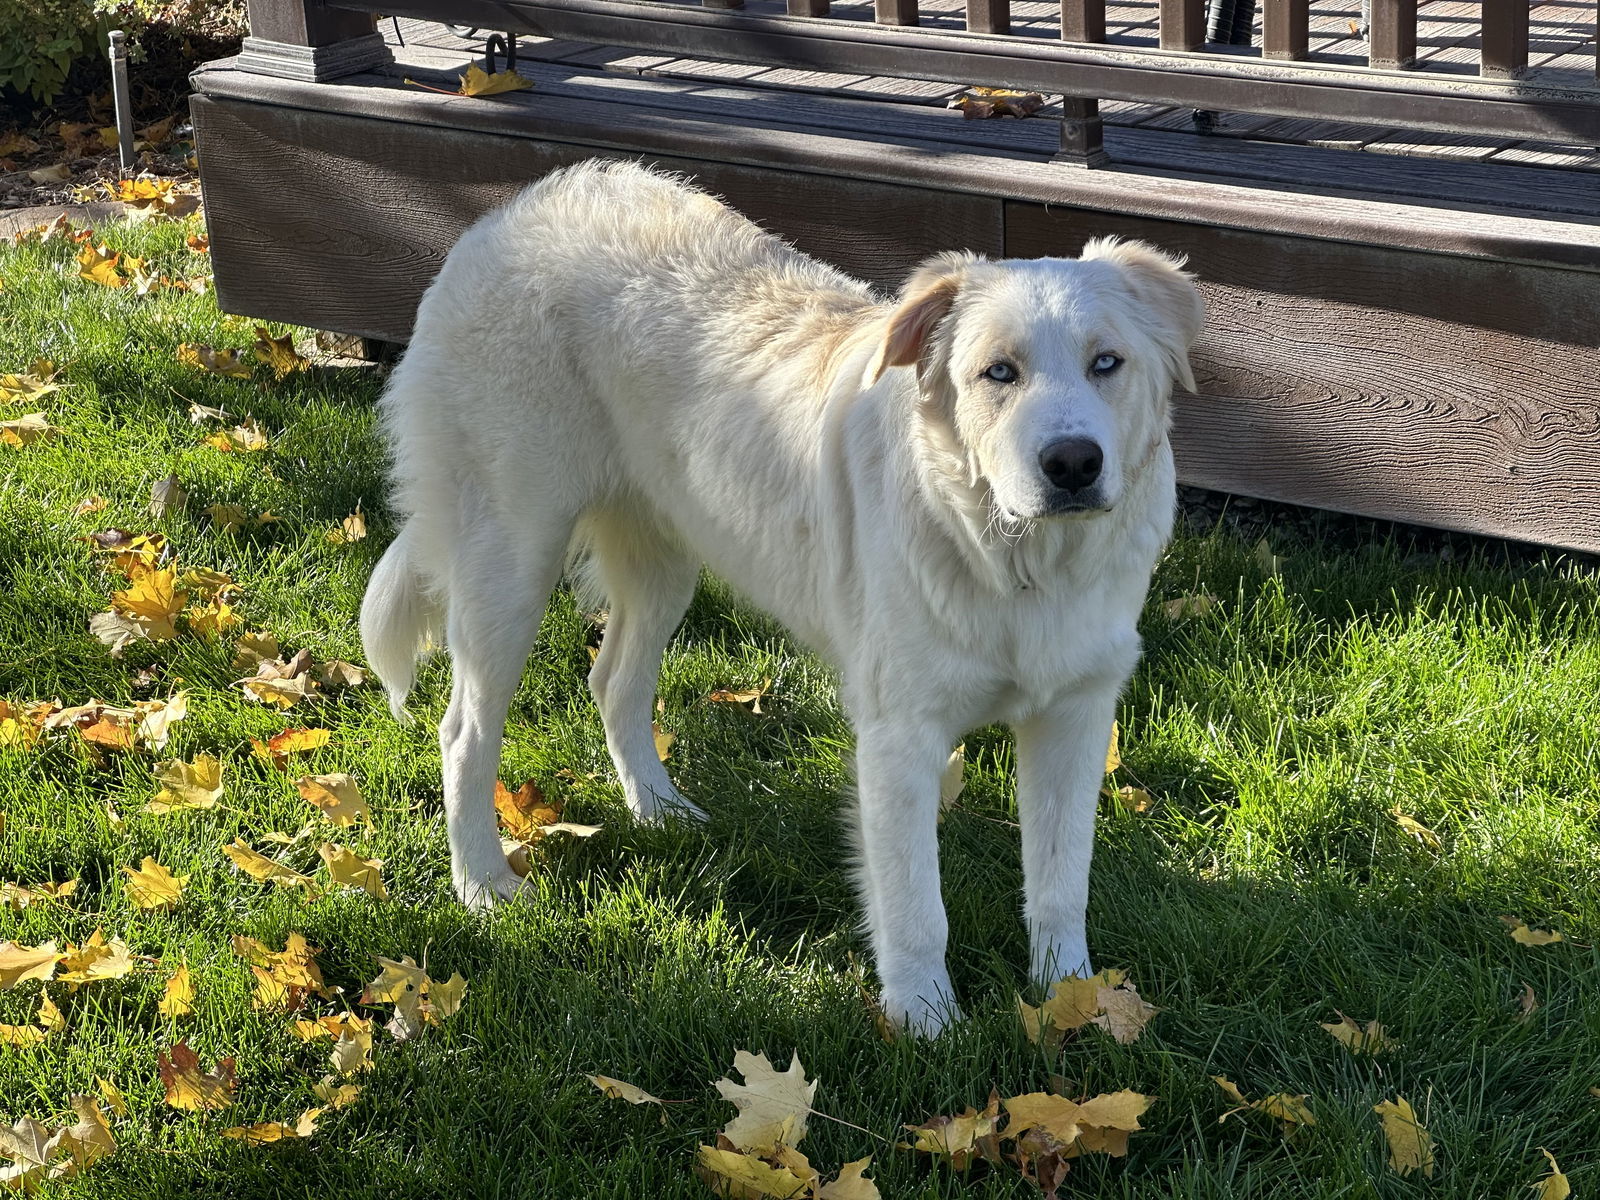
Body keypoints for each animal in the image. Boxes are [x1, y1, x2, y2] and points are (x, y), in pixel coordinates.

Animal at [360, 160, 1203, 1036]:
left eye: (1106, 363)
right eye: (998, 372)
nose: (1073, 464)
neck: (1018, 558)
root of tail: (511, 212)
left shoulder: (1074, 718)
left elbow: (1062, 881)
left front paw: (1074, 998)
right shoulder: (900, 739)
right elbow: (915, 906)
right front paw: (928, 1024)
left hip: (664, 560)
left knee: (611, 681)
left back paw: (658, 810)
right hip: (510, 563)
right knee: (465, 732)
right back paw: (485, 885)